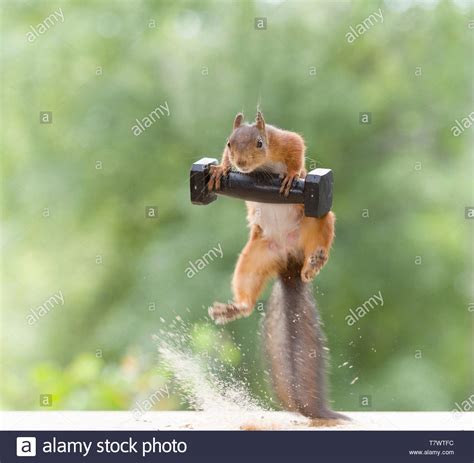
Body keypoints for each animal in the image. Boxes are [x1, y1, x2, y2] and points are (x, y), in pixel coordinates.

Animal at [206, 111, 344, 420]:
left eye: (260, 143)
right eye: (229, 143)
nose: (240, 164)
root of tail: (290, 262)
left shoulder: (284, 141)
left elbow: (297, 148)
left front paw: (292, 175)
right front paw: (220, 169)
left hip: (318, 219)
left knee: (322, 233)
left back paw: (315, 262)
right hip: (254, 258)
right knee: (247, 294)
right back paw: (234, 308)